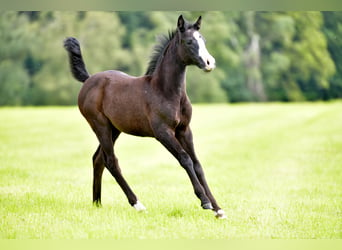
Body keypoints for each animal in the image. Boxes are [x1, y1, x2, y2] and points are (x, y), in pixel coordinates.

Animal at [64, 15, 227, 219]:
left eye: (203, 40)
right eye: (189, 41)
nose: (209, 63)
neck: (165, 91)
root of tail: (88, 79)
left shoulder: (184, 130)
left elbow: (197, 165)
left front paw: (218, 208)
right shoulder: (163, 133)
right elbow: (185, 159)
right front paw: (204, 201)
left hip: (114, 129)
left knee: (98, 159)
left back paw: (97, 204)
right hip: (100, 126)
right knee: (111, 161)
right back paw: (137, 203)